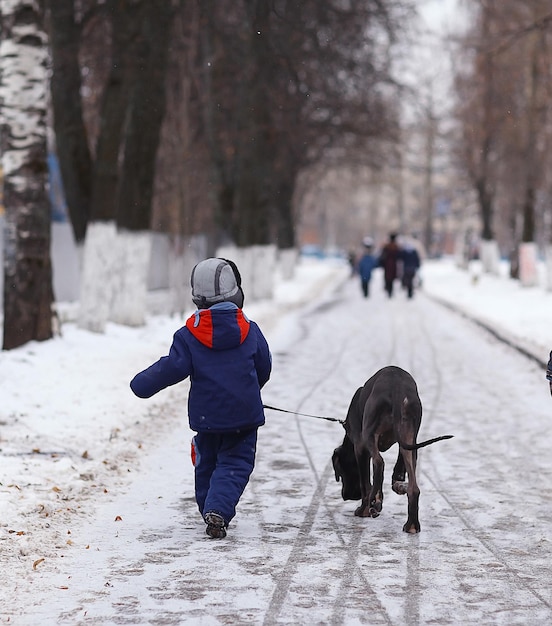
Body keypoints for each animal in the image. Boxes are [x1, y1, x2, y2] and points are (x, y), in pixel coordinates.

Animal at [332, 366, 452, 532]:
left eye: (340, 471)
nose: (347, 496)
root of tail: (397, 390)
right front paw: (399, 484)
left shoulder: (360, 447)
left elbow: (365, 483)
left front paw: (363, 509)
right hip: (409, 436)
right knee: (413, 487)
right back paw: (411, 524)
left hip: (369, 432)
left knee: (379, 462)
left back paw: (375, 502)